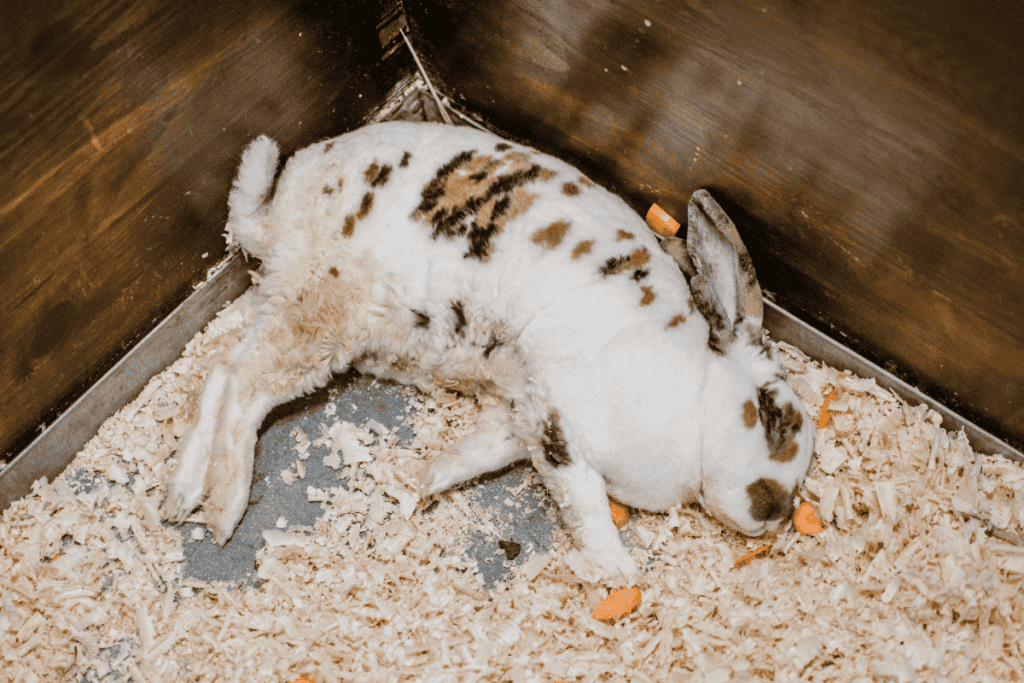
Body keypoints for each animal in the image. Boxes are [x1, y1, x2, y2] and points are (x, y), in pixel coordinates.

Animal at [162, 120, 815, 582]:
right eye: (773, 417)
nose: (773, 510)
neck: (694, 397)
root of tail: (276, 216)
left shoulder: (518, 416)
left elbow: (474, 455)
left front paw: (419, 482)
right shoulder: (556, 426)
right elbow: (586, 505)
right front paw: (620, 573)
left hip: (288, 307)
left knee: (220, 369)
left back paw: (179, 497)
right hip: (322, 317)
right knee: (244, 388)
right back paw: (222, 510)